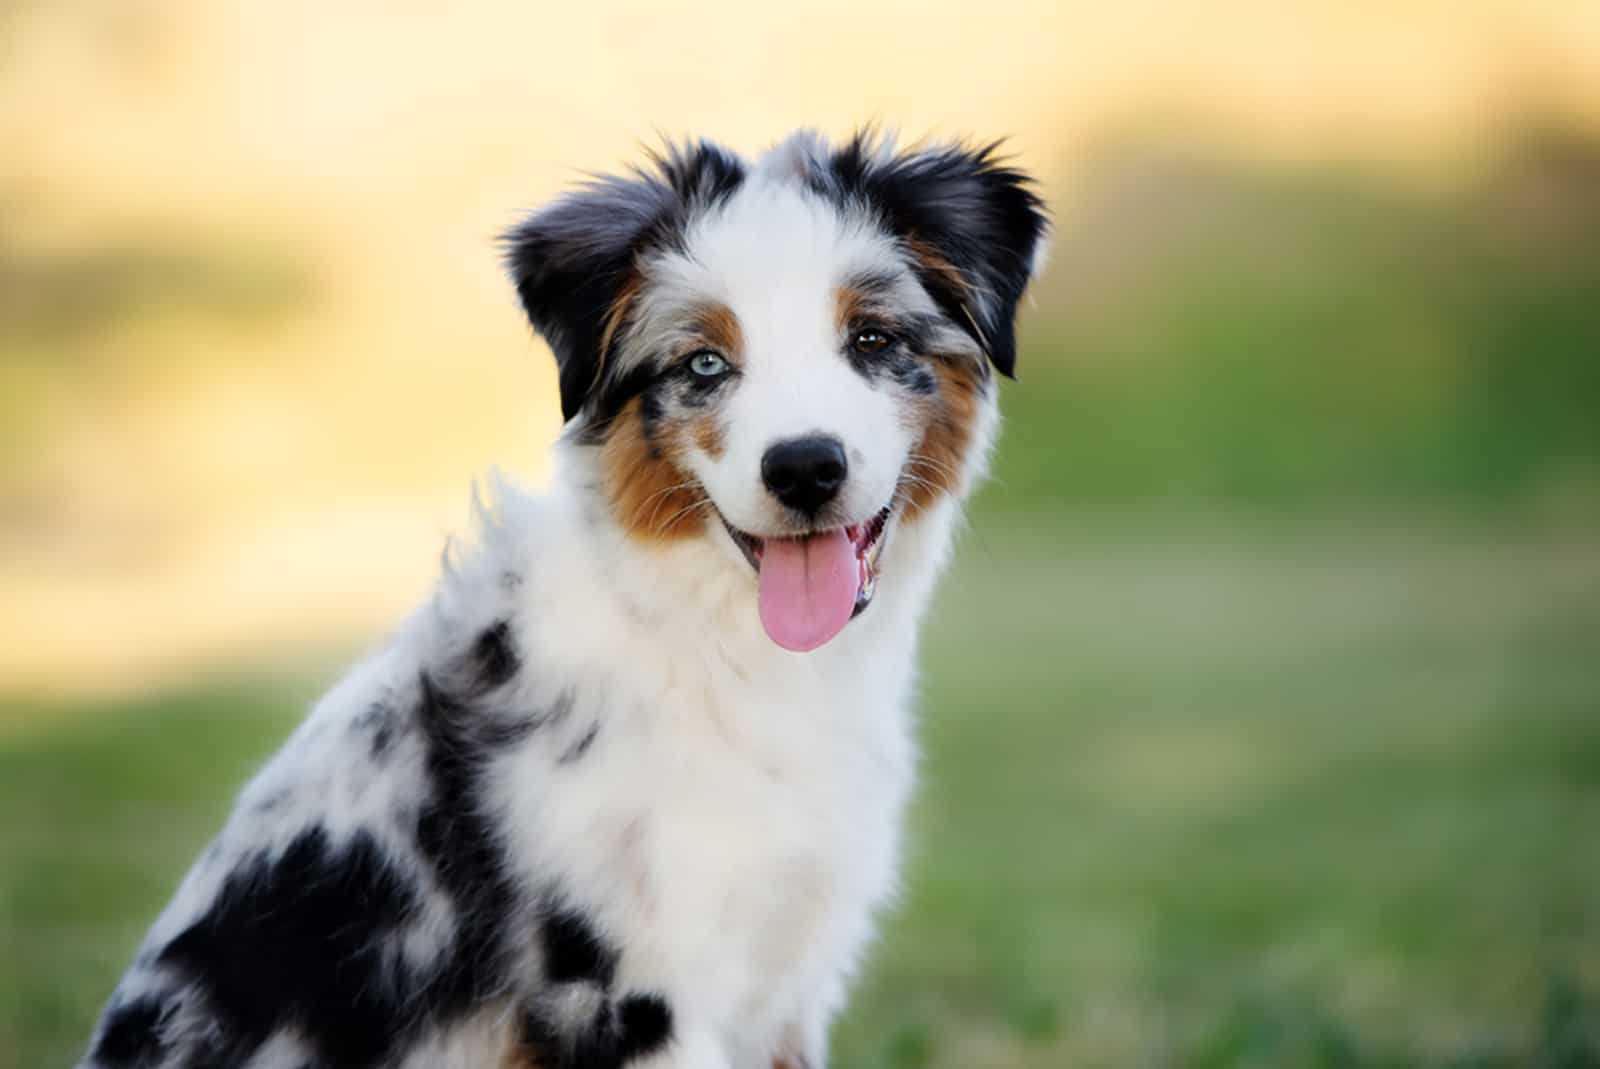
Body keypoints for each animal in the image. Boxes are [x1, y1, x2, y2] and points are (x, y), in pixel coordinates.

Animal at [78, 129, 1049, 1062]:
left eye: (873, 340)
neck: (724, 651)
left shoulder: (787, 983)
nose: (805, 467)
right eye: (704, 363)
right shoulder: (624, 996)